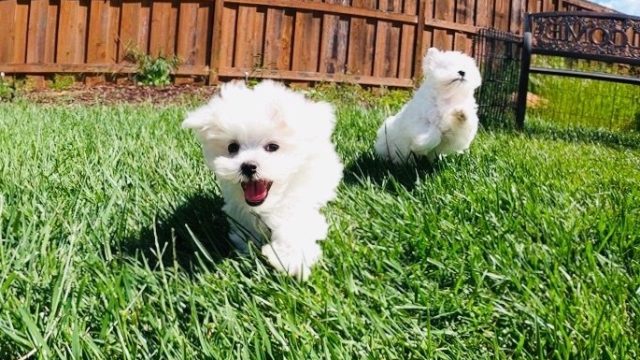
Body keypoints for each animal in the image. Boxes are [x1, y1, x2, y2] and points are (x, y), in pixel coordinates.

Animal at [184, 81, 344, 282]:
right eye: (232, 147)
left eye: (272, 147)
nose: (248, 166)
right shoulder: (238, 208)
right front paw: (249, 245)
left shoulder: (298, 200)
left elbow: (295, 225)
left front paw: (291, 260)